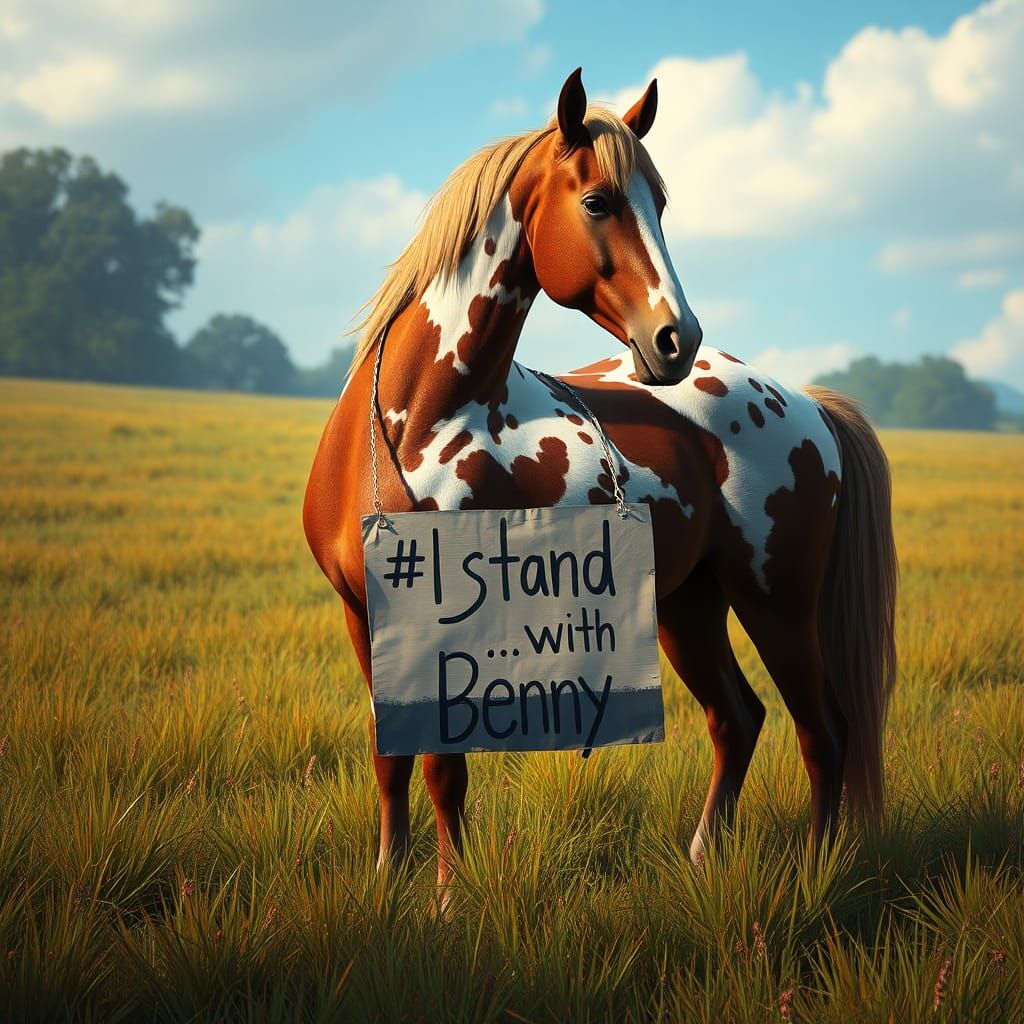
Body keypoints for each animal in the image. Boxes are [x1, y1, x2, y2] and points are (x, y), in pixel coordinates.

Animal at [303, 68, 897, 892]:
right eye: (597, 202)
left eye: (661, 204)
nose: (676, 339)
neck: (417, 418)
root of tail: (805, 403)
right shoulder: (362, 614)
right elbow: (390, 755)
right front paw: (388, 884)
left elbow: (445, 768)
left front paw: (448, 901)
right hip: (689, 606)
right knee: (738, 719)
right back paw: (702, 859)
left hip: (777, 602)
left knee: (823, 732)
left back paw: (815, 874)